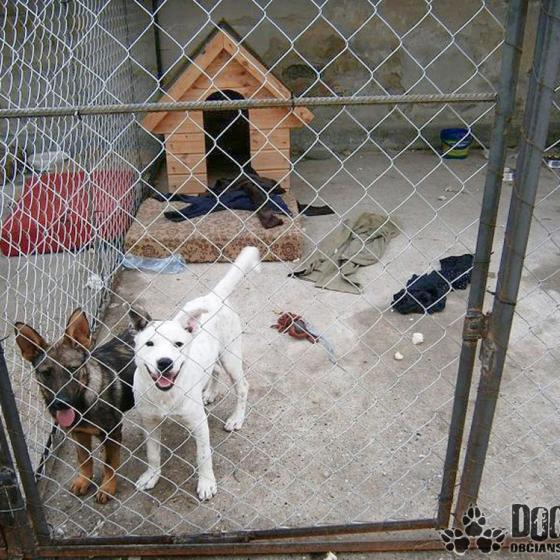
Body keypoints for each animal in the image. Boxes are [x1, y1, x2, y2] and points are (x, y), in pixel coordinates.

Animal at [15, 309, 136, 503]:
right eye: (46, 373)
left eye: (72, 369)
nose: (60, 403)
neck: (82, 404)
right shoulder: (78, 433)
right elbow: (84, 459)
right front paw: (84, 481)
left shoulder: (112, 432)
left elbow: (109, 462)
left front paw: (107, 487)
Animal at [129, 246, 260, 500]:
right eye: (149, 344)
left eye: (178, 344)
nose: (164, 363)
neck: (166, 395)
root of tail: (214, 296)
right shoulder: (149, 422)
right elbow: (152, 453)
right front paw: (152, 475)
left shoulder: (200, 424)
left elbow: (203, 456)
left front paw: (206, 483)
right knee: (214, 369)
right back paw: (209, 392)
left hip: (231, 356)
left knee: (242, 386)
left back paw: (236, 418)